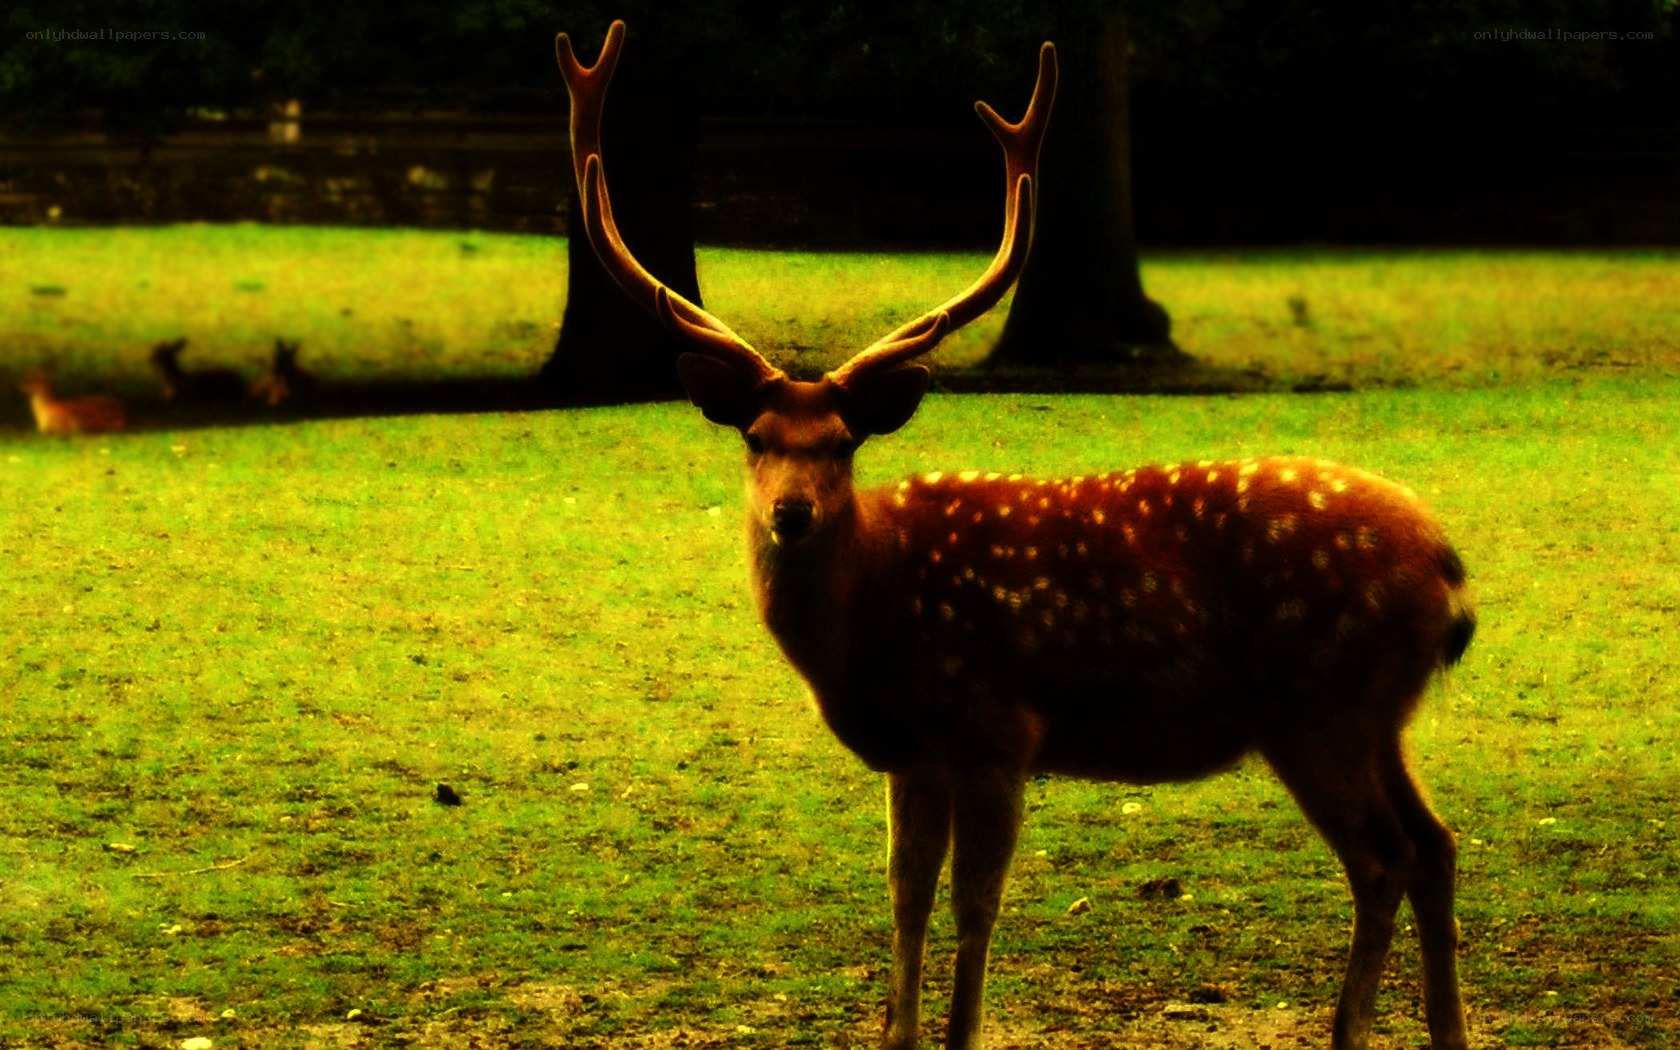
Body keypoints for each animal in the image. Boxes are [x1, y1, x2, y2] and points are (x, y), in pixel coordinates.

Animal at [557, 22, 1474, 1050]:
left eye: (842, 443)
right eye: (755, 437)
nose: (793, 513)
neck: (871, 619)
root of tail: (1450, 574)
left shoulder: (998, 725)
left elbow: (975, 906)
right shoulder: (912, 753)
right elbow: (904, 900)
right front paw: (897, 1030)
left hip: (1321, 707)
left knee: (1384, 859)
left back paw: (1350, 1029)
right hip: (1378, 717)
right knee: (1437, 845)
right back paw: (1448, 1030)